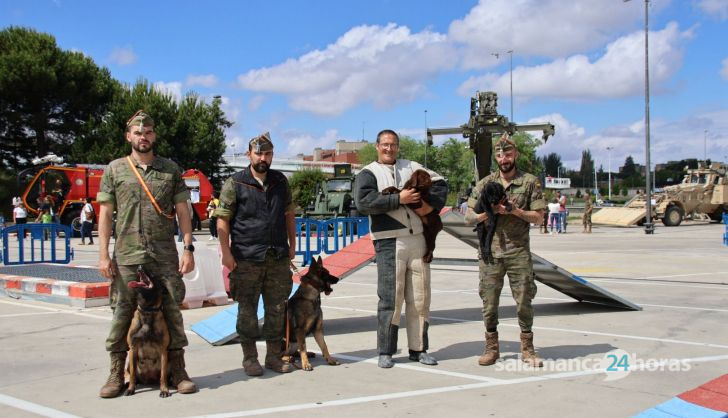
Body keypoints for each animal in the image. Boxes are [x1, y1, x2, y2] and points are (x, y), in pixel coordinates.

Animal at [125, 268, 172, 398]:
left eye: (152, 273)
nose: (140, 267)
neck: (147, 310)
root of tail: (148, 379)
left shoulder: (163, 350)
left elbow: (162, 376)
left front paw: (164, 390)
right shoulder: (133, 348)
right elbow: (132, 375)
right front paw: (131, 389)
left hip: (168, 362)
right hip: (129, 361)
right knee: (131, 374)